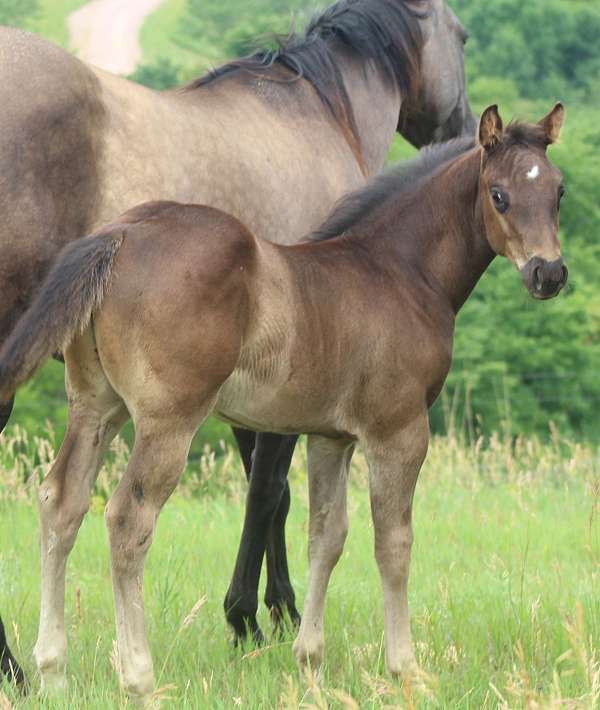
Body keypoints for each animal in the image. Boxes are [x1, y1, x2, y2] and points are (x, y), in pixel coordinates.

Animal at [0, 103, 567, 700]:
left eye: (558, 190)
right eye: (499, 194)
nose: (548, 273)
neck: (398, 271)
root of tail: (119, 236)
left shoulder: (330, 436)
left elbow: (327, 536)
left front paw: (310, 659)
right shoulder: (398, 431)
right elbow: (393, 543)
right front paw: (405, 669)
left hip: (95, 407)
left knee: (62, 503)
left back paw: (53, 671)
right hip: (167, 422)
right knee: (129, 520)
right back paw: (138, 677)